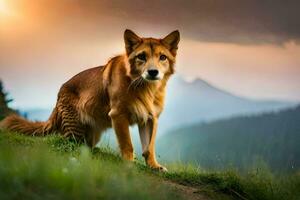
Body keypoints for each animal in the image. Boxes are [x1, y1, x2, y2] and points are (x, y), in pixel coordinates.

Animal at [1, 29, 179, 170]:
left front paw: (154, 166)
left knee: (87, 145)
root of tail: (59, 94)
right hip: (74, 129)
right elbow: (127, 144)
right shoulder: (118, 115)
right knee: (66, 143)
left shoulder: (150, 118)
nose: (153, 72)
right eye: (141, 56)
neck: (145, 88)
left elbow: (149, 147)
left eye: (162, 57)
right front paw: (129, 165)